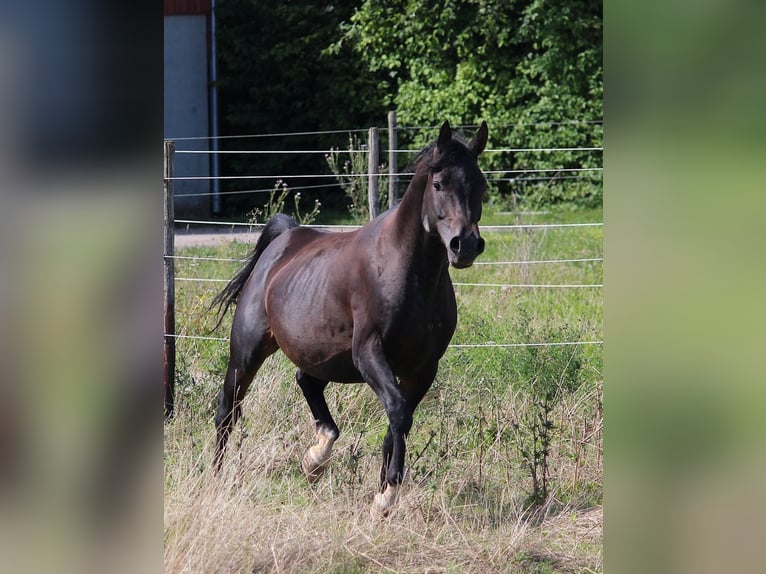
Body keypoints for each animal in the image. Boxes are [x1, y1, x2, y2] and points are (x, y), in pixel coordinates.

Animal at [211, 120, 488, 514]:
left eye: (480, 183)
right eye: (438, 184)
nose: (464, 245)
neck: (405, 271)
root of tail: (286, 238)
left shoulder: (423, 367)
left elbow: (397, 423)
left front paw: (381, 496)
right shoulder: (369, 353)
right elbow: (399, 413)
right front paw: (388, 494)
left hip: (326, 357)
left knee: (306, 382)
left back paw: (315, 459)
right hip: (249, 351)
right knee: (228, 409)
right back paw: (217, 478)